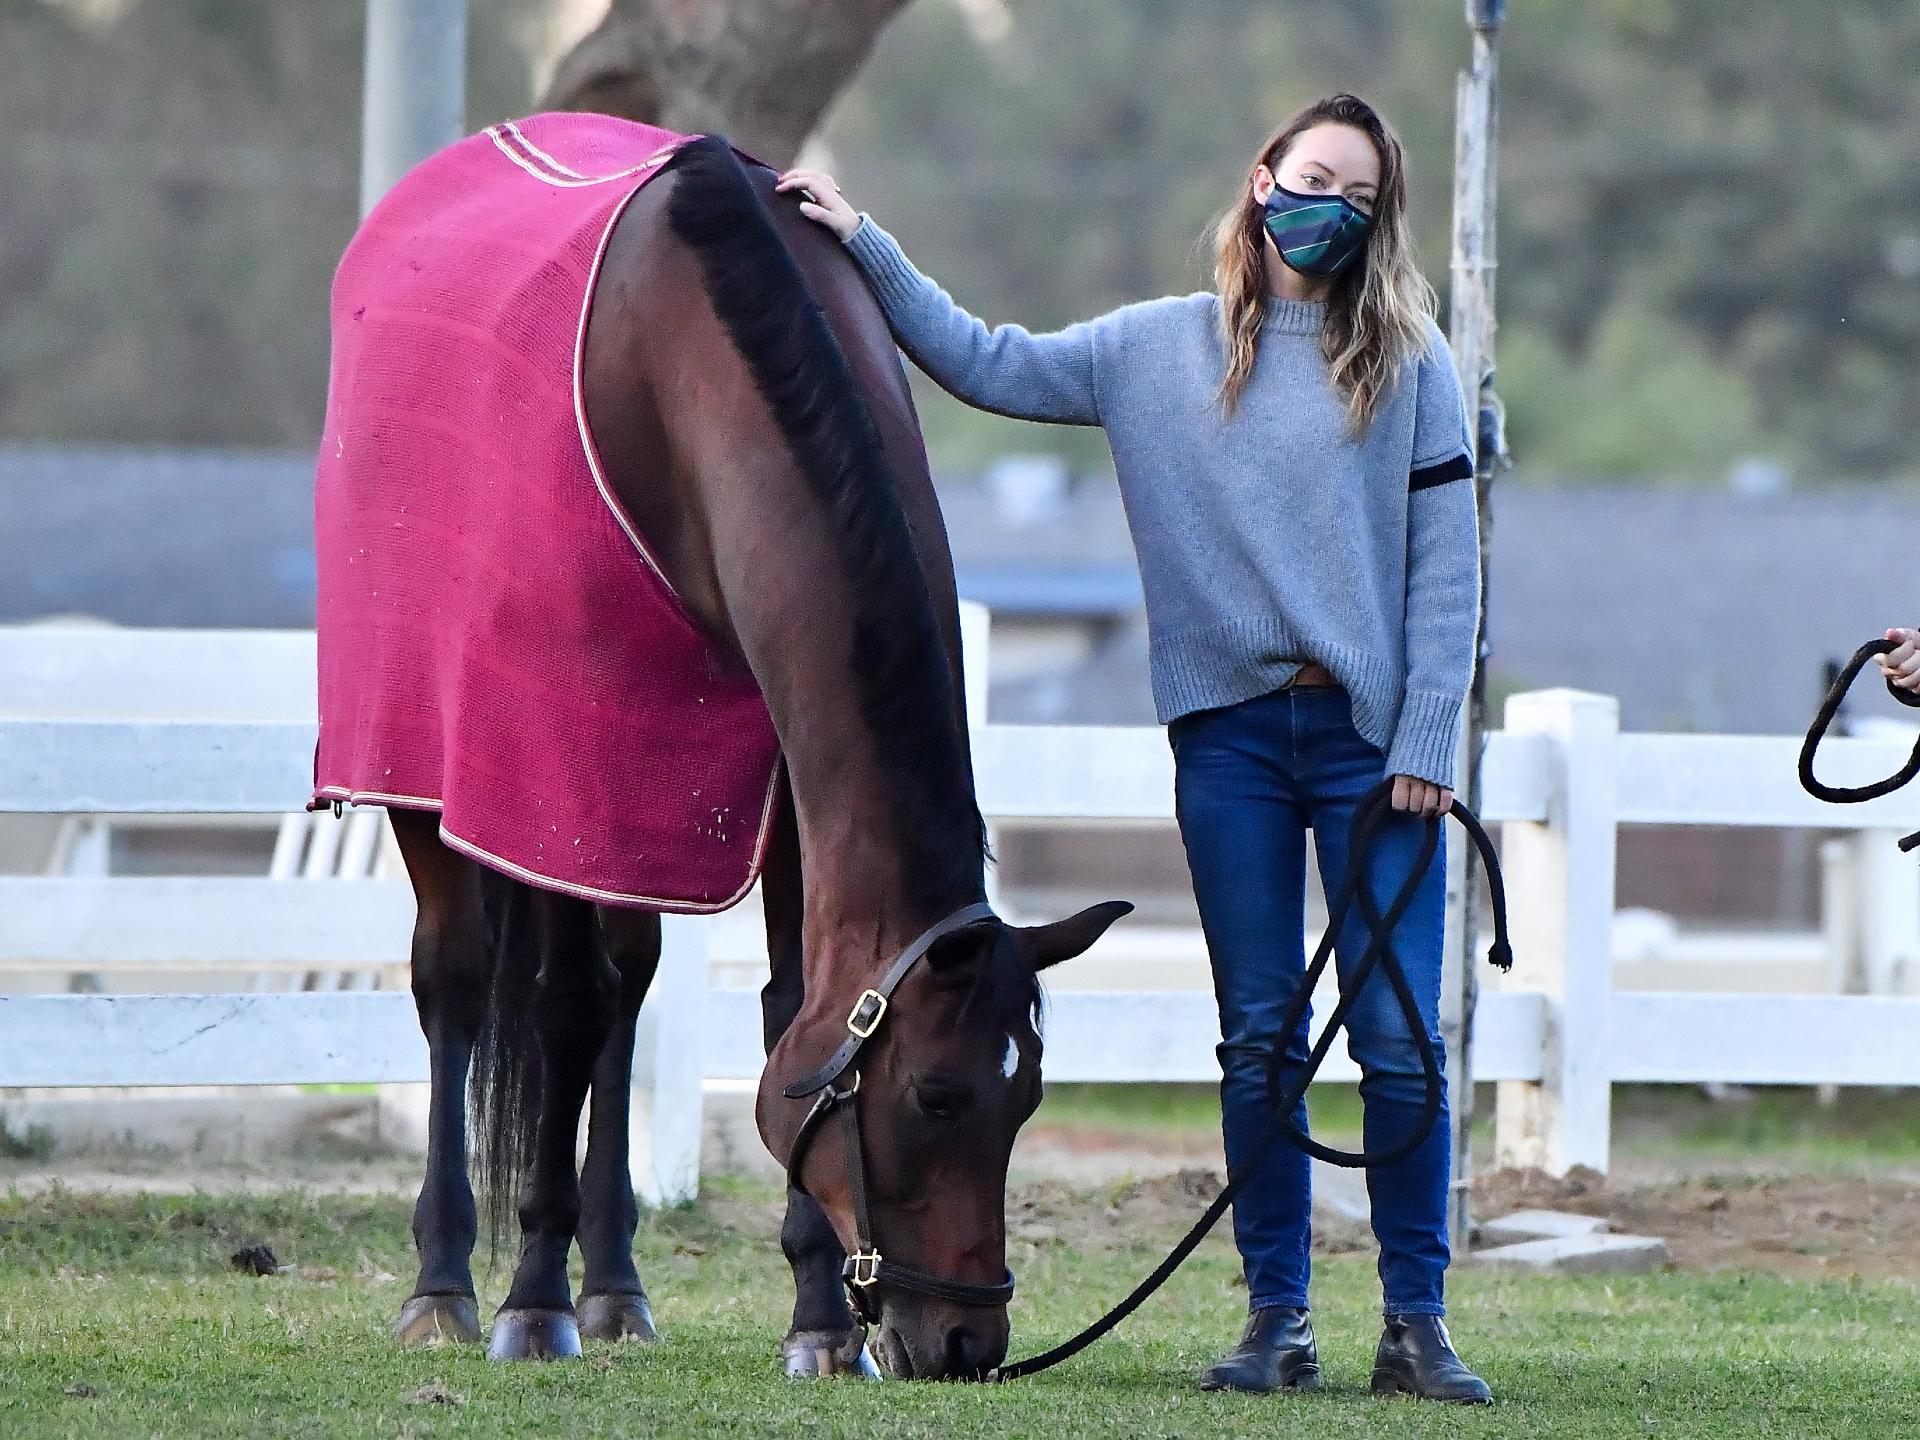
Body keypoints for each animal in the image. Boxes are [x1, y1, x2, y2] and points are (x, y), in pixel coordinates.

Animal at [311, 126, 1121, 1390]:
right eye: (937, 1097)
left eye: (1027, 1097)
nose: (964, 1341)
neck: (692, 361)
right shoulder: (559, 762)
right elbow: (560, 1009)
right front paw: (530, 1299)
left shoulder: (784, 777)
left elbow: (785, 1002)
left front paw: (819, 1320)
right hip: (441, 775)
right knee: (461, 983)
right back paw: (447, 1284)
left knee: (631, 983)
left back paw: (616, 1286)